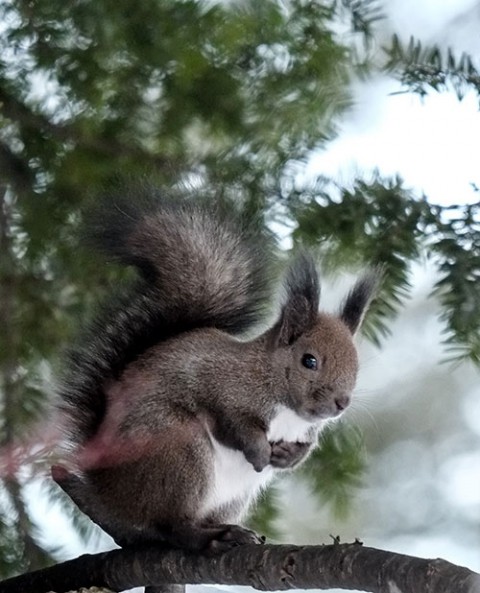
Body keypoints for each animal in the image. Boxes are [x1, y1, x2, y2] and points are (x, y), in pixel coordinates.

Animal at [50, 184, 376, 552]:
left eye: (356, 365)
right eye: (309, 360)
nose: (341, 403)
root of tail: (107, 489)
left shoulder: (306, 431)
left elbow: (304, 450)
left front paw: (287, 458)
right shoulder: (222, 385)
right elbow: (234, 424)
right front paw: (260, 452)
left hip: (231, 495)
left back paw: (230, 531)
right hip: (175, 451)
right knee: (172, 526)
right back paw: (205, 536)